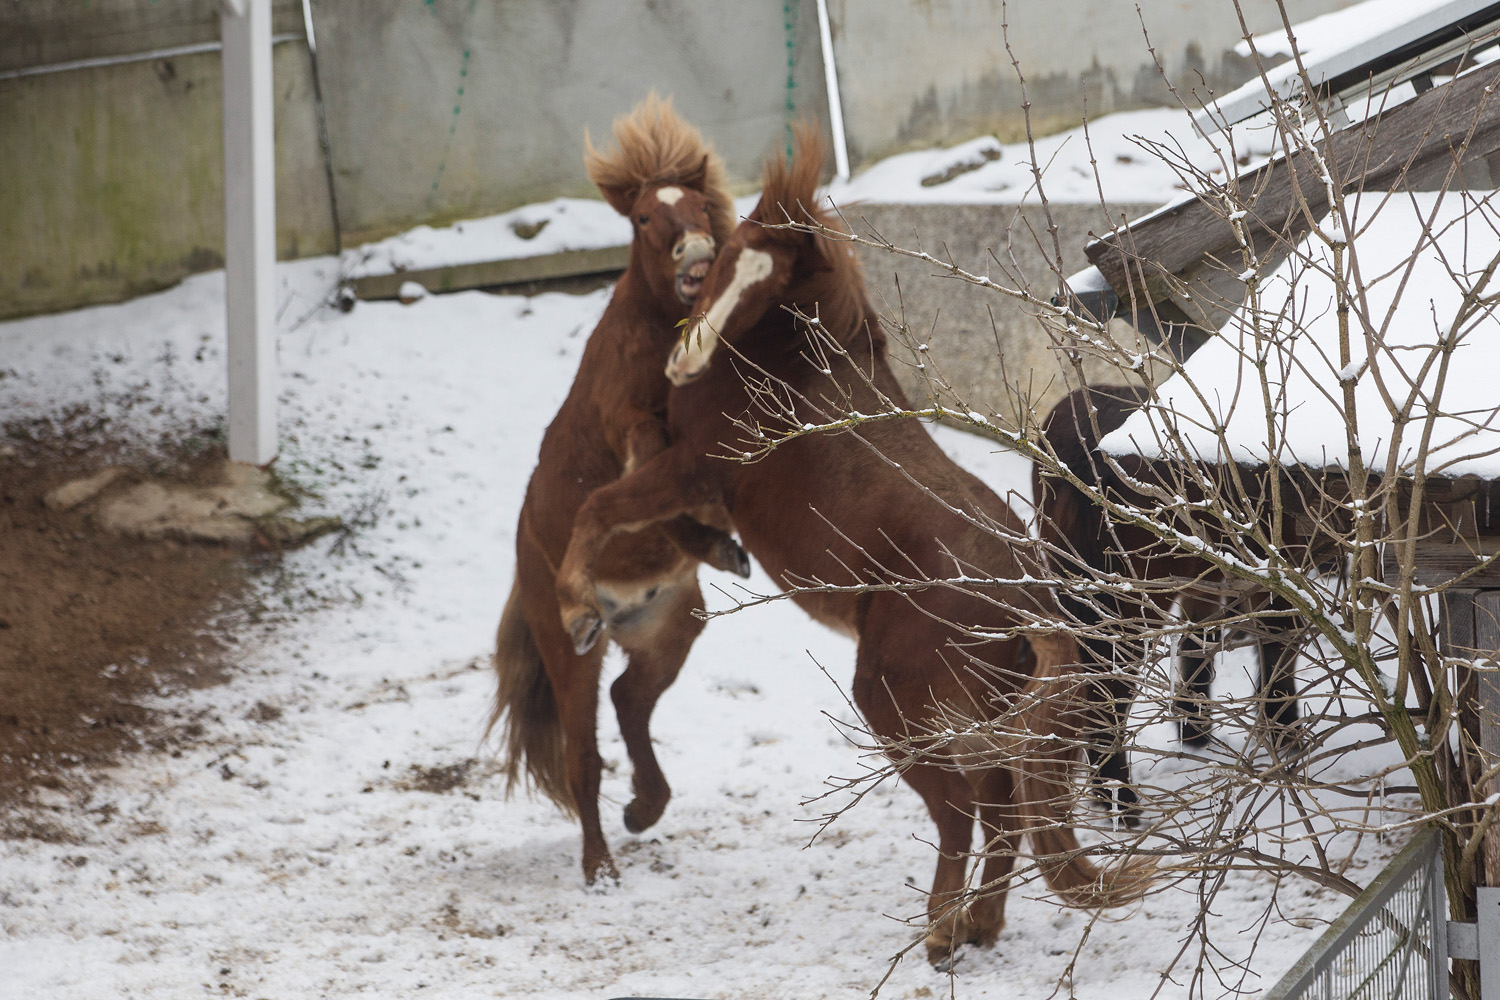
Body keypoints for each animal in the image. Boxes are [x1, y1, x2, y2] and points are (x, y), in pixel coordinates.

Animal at [486, 95, 751, 887]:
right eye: (639, 218)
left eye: (698, 202)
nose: (696, 257)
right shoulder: (631, 425)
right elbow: (650, 472)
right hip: (571, 652)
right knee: (582, 755)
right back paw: (600, 866)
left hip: (672, 627)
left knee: (629, 700)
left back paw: (645, 808)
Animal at [553, 126, 1152, 964]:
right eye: (724, 257)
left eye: (761, 279)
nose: (683, 361)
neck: (790, 370)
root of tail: (1030, 603)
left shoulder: (693, 470)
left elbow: (598, 511)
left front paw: (577, 610)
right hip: (980, 714)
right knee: (1002, 808)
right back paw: (978, 925)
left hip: (894, 706)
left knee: (961, 811)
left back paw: (942, 931)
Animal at [1034, 384, 1304, 819]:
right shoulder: (1279, 568)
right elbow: (1277, 651)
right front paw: (1283, 735)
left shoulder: (1209, 577)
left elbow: (1198, 644)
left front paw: (1194, 729)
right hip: (1132, 600)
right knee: (1108, 698)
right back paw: (1123, 805)